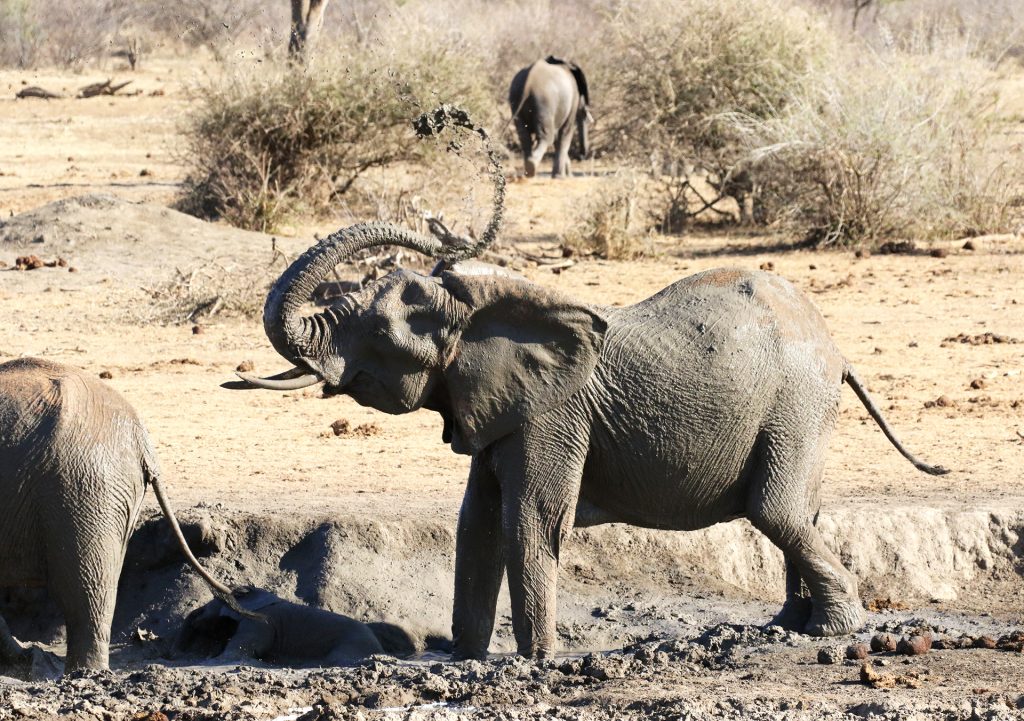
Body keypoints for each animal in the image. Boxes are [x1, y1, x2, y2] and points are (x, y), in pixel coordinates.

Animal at [228, 224, 946, 659]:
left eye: (376, 330)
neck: (486, 300)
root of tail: (836, 348)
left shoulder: (551, 412)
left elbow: (529, 519)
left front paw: (536, 662)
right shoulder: (499, 408)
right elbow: (476, 523)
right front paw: (465, 659)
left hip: (794, 402)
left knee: (775, 509)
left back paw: (830, 630)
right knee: (800, 511)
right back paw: (790, 627)